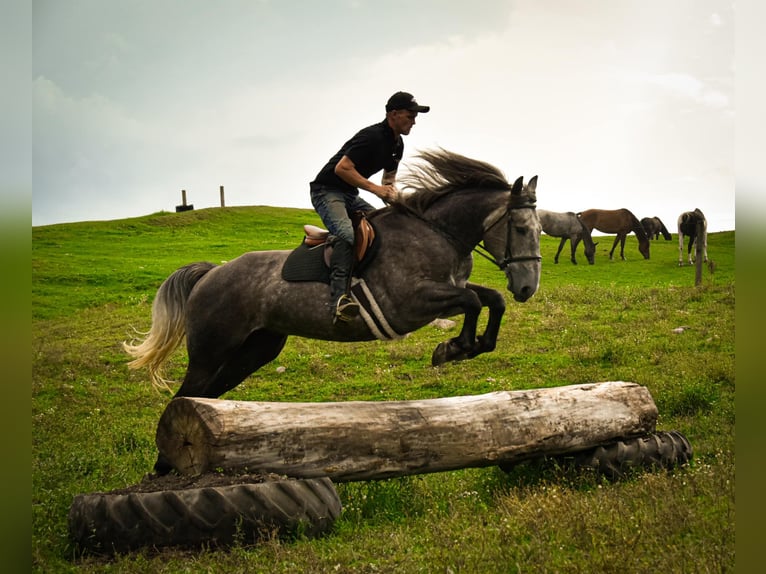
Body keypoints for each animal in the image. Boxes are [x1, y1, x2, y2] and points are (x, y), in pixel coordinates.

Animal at [122, 149, 542, 475]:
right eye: (522, 228)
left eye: (541, 230)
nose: (527, 288)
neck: (437, 232)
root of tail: (211, 273)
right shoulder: (411, 303)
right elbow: (472, 302)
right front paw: (454, 348)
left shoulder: (450, 287)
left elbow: (491, 299)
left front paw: (474, 344)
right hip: (211, 351)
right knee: (187, 393)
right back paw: (165, 464)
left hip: (255, 350)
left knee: (207, 394)